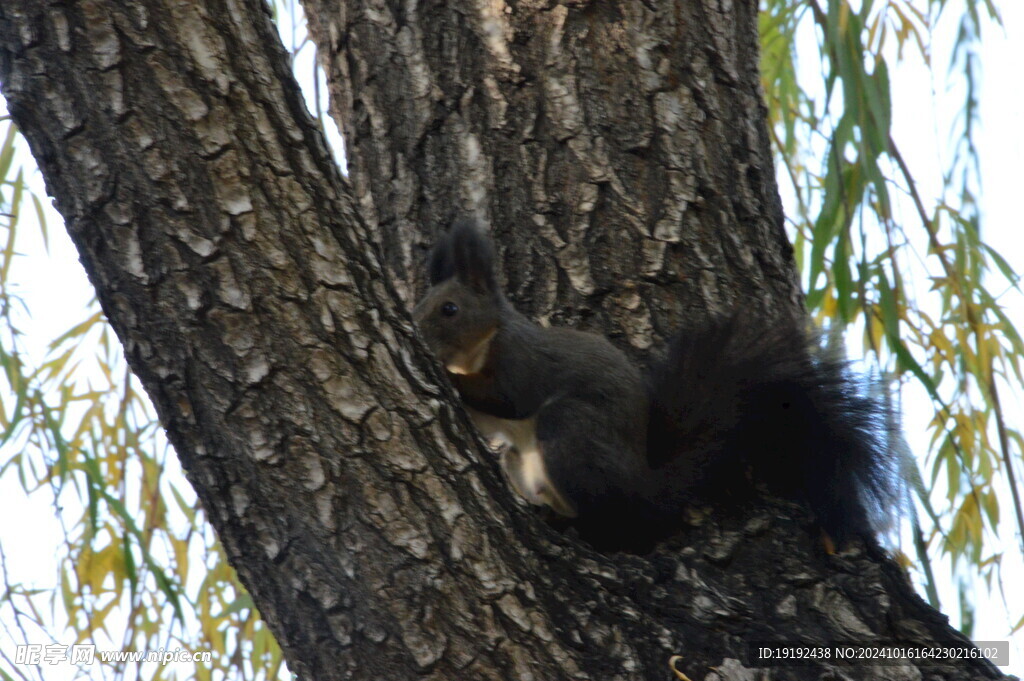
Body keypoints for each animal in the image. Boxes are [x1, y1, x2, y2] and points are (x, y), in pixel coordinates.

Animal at [411, 220, 901, 548]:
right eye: (420, 304)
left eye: (450, 309)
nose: (417, 330)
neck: (481, 346)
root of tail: (646, 485)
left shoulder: (522, 363)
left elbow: (508, 399)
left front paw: (450, 379)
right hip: (525, 459)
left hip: (572, 433)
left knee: (611, 517)